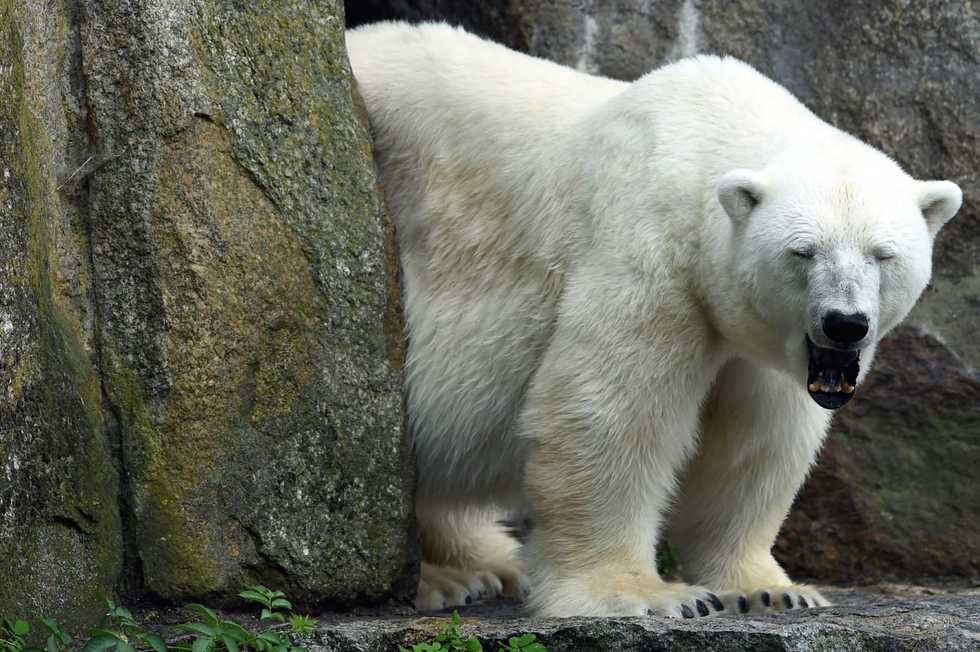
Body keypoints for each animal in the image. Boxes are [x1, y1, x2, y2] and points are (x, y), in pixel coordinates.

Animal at [345, 22, 962, 617]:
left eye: (882, 254)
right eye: (804, 251)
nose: (844, 323)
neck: (703, 139)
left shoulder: (759, 340)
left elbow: (753, 442)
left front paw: (771, 589)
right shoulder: (649, 251)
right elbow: (610, 413)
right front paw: (650, 594)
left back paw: (489, 564)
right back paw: (446, 579)